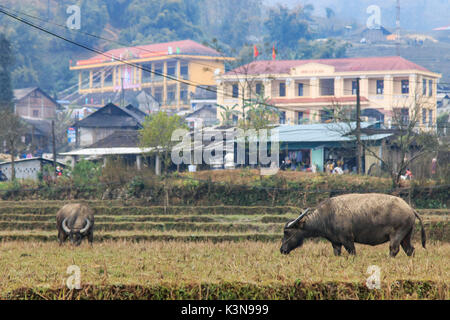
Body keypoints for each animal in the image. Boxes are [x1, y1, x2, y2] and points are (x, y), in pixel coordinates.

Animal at [280, 192, 428, 258]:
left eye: (287, 232)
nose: (282, 249)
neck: (327, 216)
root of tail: (410, 209)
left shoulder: (347, 240)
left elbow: (353, 252)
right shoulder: (336, 243)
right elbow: (337, 253)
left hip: (397, 235)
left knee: (394, 249)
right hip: (406, 236)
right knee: (410, 250)